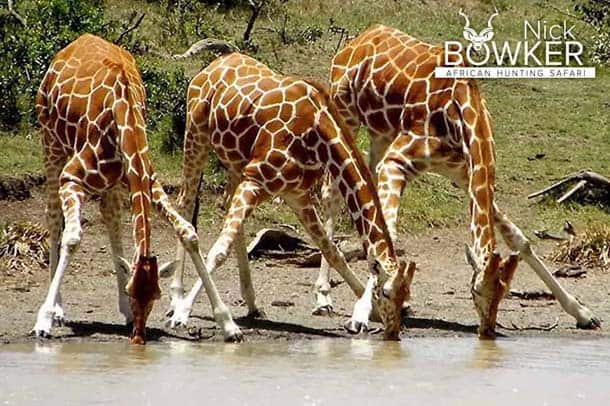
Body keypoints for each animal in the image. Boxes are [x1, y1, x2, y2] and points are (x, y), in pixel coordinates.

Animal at [33, 34, 241, 342]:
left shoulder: (147, 181)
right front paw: (45, 319)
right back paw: (58, 309)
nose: (139, 337)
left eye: (155, 296)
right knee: (53, 214)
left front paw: (228, 324)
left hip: (110, 181)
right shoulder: (72, 179)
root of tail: (73, 44)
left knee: (110, 216)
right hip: (50, 141)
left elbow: (188, 233)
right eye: (134, 292)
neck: (124, 119)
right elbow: (72, 238)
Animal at [163, 52, 414, 340]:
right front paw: (186, 313)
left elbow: (332, 251)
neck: (318, 135)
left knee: (226, 208)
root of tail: (212, 66)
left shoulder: (296, 194)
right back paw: (176, 300)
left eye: (406, 296)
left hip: (235, 163)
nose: (393, 333)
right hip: (196, 136)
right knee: (185, 204)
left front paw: (363, 312)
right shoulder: (256, 180)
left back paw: (252, 303)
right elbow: (218, 252)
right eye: (386, 292)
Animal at [318, 23, 600, 338]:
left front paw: (582, 313)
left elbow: (519, 239)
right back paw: (323, 297)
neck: (461, 111)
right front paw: (360, 315)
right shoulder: (397, 162)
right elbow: (387, 235)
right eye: (475, 291)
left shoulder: (464, 174)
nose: (487, 332)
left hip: (381, 133)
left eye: (504, 293)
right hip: (346, 114)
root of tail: (360, 38)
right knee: (331, 193)